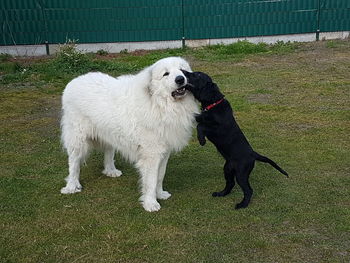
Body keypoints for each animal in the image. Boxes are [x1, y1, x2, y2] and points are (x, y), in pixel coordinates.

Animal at [59, 57, 197, 212]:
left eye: (182, 71)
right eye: (166, 74)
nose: (180, 79)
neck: (158, 103)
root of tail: (74, 81)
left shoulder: (164, 151)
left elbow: (160, 175)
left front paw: (160, 194)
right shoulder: (152, 154)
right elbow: (151, 180)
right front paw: (150, 203)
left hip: (109, 131)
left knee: (108, 152)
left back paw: (111, 171)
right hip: (78, 138)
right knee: (74, 162)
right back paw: (71, 185)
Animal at [182, 70, 288, 210]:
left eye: (198, 75)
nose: (183, 72)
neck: (213, 104)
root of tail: (253, 154)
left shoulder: (216, 129)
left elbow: (201, 126)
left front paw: (202, 140)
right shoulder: (202, 118)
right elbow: (199, 120)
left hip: (241, 173)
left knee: (248, 190)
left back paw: (242, 204)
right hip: (228, 169)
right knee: (230, 183)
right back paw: (221, 194)